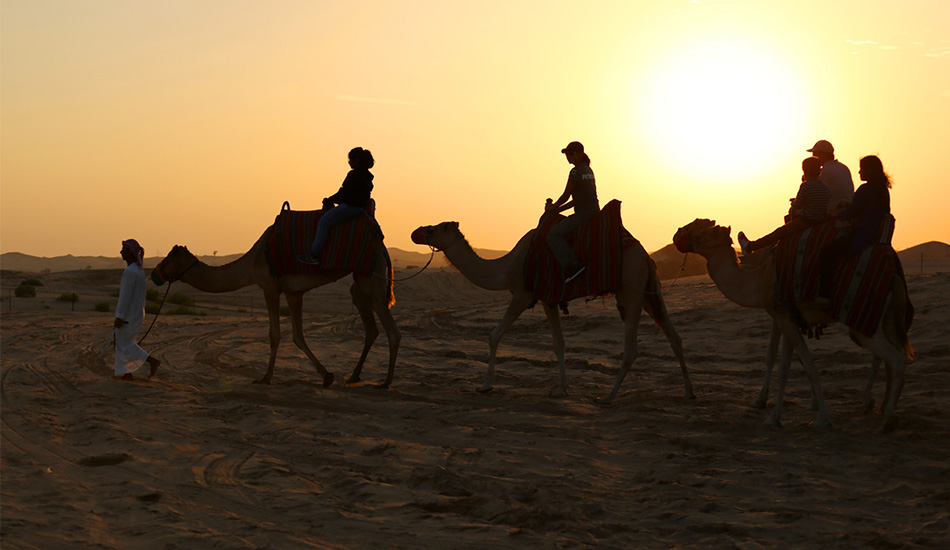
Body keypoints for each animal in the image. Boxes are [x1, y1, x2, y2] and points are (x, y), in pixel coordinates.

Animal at [152, 223, 402, 388]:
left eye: (168, 258)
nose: (154, 274)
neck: (252, 262)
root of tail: (381, 246)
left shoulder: (270, 287)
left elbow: (275, 335)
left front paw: (265, 377)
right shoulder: (293, 292)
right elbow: (298, 336)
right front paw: (326, 376)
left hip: (373, 279)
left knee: (391, 330)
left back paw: (386, 382)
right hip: (362, 284)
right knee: (372, 328)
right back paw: (354, 376)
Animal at [412, 221, 696, 406]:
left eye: (434, 228)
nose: (415, 232)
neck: (506, 266)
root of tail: (645, 255)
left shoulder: (523, 294)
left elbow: (495, 335)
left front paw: (485, 385)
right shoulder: (549, 300)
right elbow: (558, 343)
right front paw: (561, 389)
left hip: (631, 290)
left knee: (632, 348)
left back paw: (608, 396)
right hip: (650, 290)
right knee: (674, 336)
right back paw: (689, 392)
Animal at [672, 221, 912, 436]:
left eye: (702, 233)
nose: (678, 236)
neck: (759, 280)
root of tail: (893, 274)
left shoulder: (783, 315)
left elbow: (808, 366)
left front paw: (822, 418)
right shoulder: (787, 318)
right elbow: (786, 366)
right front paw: (774, 415)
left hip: (862, 318)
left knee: (896, 358)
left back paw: (885, 422)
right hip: (888, 319)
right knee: (895, 353)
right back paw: (883, 410)